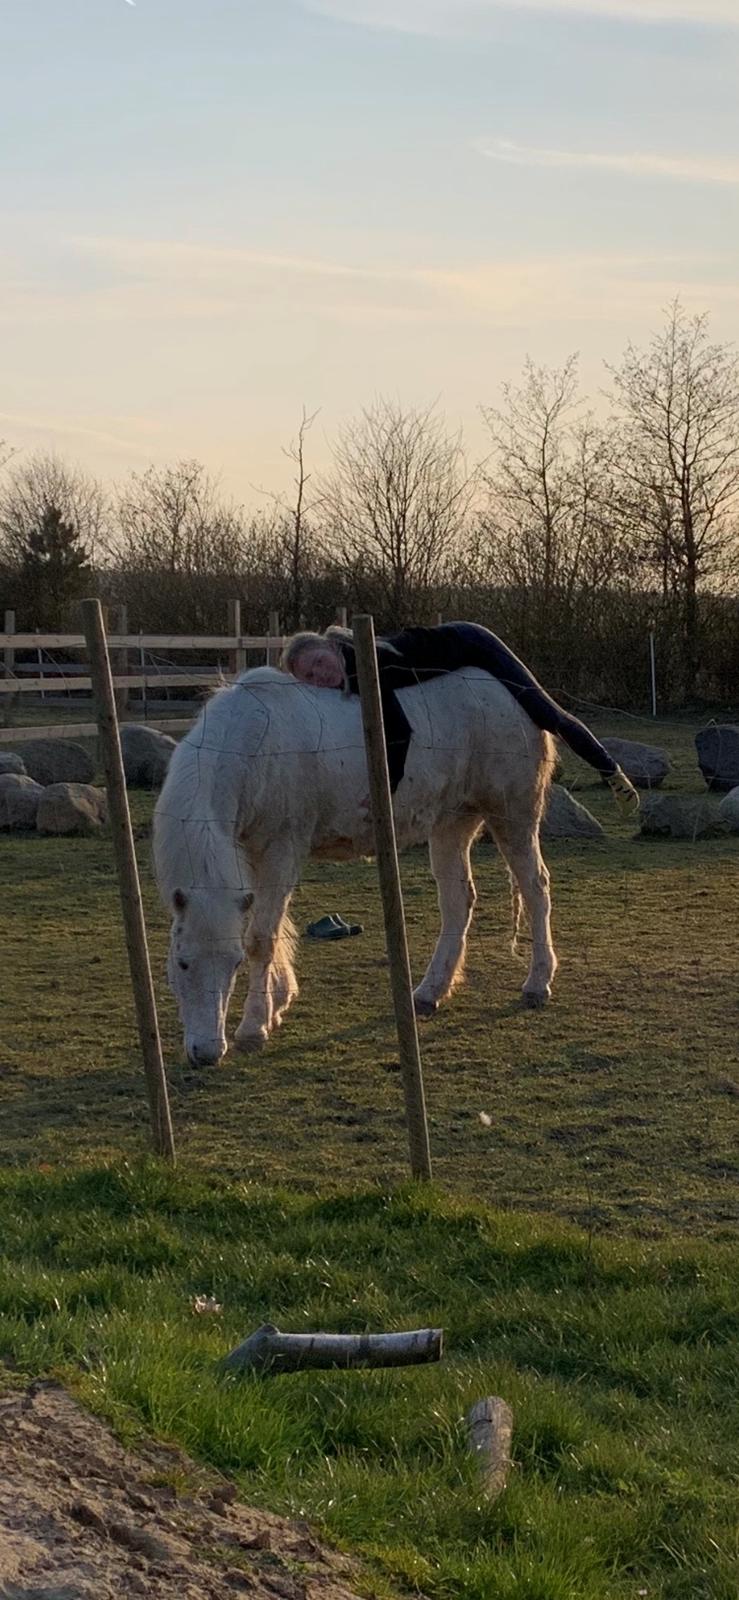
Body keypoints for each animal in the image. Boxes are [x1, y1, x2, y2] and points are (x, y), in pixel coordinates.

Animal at [151, 662, 553, 1062]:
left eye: (234, 963)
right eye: (182, 961)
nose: (207, 1052)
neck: (255, 747)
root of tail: (512, 689)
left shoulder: (282, 850)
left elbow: (262, 938)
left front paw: (255, 1027)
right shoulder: (251, 855)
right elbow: (273, 927)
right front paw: (279, 1003)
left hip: (512, 816)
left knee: (535, 888)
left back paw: (537, 983)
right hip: (452, 822)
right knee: (459, 903)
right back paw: (429, 993)